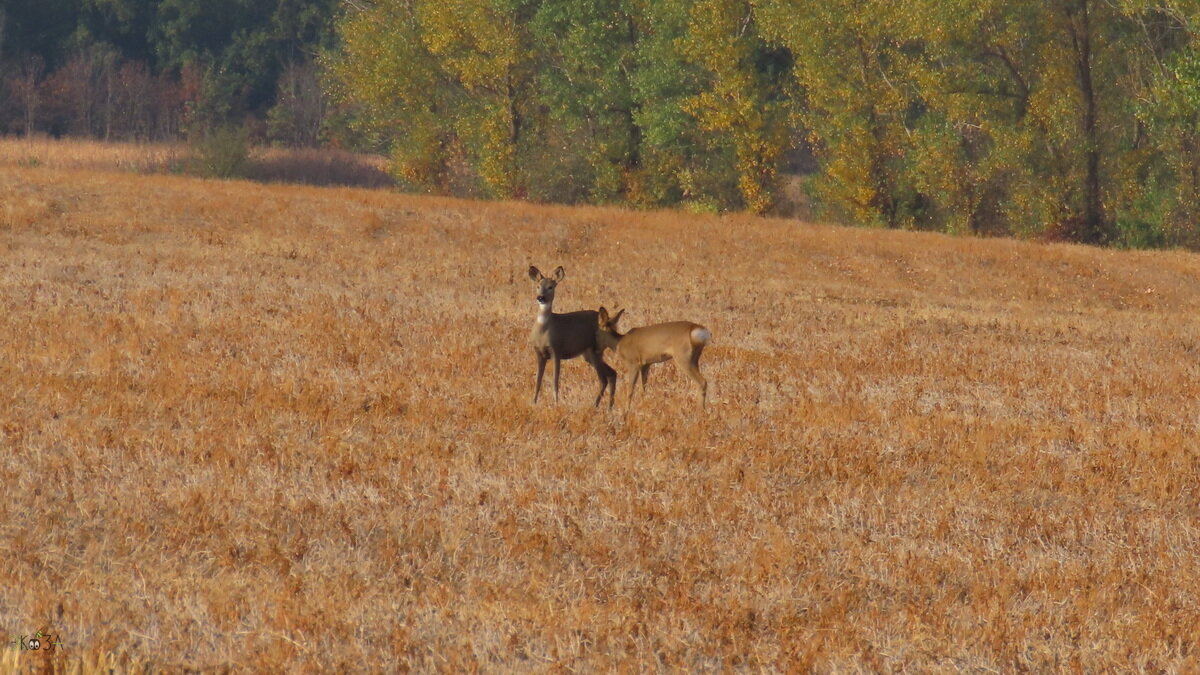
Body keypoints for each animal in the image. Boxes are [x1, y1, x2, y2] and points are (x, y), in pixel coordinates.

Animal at [528, 265, 614, 408]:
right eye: (538, 286)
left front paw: (556, 403)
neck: (544, 330)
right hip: (588, 354)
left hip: (595, 350)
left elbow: (555, 381)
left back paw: (595, 405)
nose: (540, 297)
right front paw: (533, 402)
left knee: (604, 379)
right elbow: (537, 381)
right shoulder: (539, 352)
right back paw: (609, 407)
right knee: (613, 373)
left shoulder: (557, 350)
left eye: (551, 287)